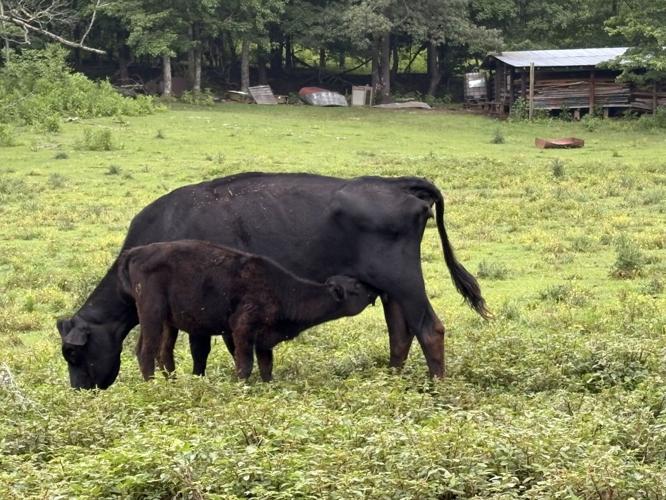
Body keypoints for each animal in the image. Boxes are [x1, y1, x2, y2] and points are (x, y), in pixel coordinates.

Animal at [117, 240, 378, 381]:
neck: (281, 288)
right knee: (146, 352)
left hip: (166, 322)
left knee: (162, 353)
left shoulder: (264, 341)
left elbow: (266, 367)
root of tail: (136, 252)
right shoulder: (242, 329)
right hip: (152, 314)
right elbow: (245, 365)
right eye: (356, 287)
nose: (373, 287)